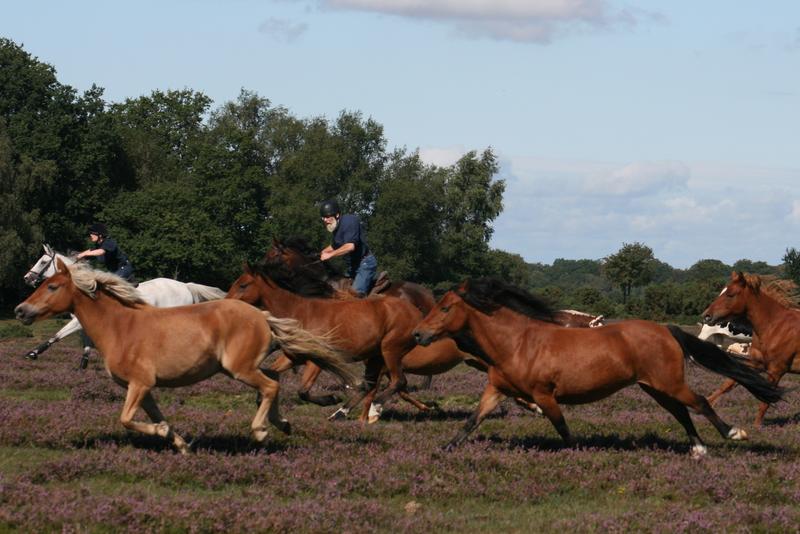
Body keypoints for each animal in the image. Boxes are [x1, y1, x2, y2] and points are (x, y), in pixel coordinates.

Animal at [11, 262, 356, 454]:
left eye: (53, 286)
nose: (19, 310)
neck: (120, 326)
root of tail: (263, 315)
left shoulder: (139, 384)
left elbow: (126, 419)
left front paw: (167, 436)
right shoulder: (143, 389)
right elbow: (153, 417)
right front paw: (180, 444)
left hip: (239, 368)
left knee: (270, 386)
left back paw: (261, 430)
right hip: (241, 368)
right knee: (272, 381)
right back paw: (282, 423)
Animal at [21, 244, 225, 366]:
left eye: (43, 261)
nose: (27, 278)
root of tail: (185, 285)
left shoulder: (79, 321)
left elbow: (57, 335)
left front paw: (33, 353)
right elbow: (86, 341)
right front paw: (84, 363)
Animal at [412, 278, 780, 458]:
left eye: (444, 308)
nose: (417, 333)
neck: (517, 343)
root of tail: (666, 329)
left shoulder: (544, 395)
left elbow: (562, 428)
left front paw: (580, 453)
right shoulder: (497, 390)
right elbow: (471, 421)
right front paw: (443, 450)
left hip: (669, 383)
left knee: (699, 403)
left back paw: (732, 434)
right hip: (654, 386)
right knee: (680, 412)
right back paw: (699, 449)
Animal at [704, 274, 796, 430]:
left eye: (730, 294)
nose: (706, 316)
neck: (775, 327)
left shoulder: (776, 370)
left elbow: (765, 400)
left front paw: (757, 426)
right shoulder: (757, 363)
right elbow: (730, 382)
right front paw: (708, 402)